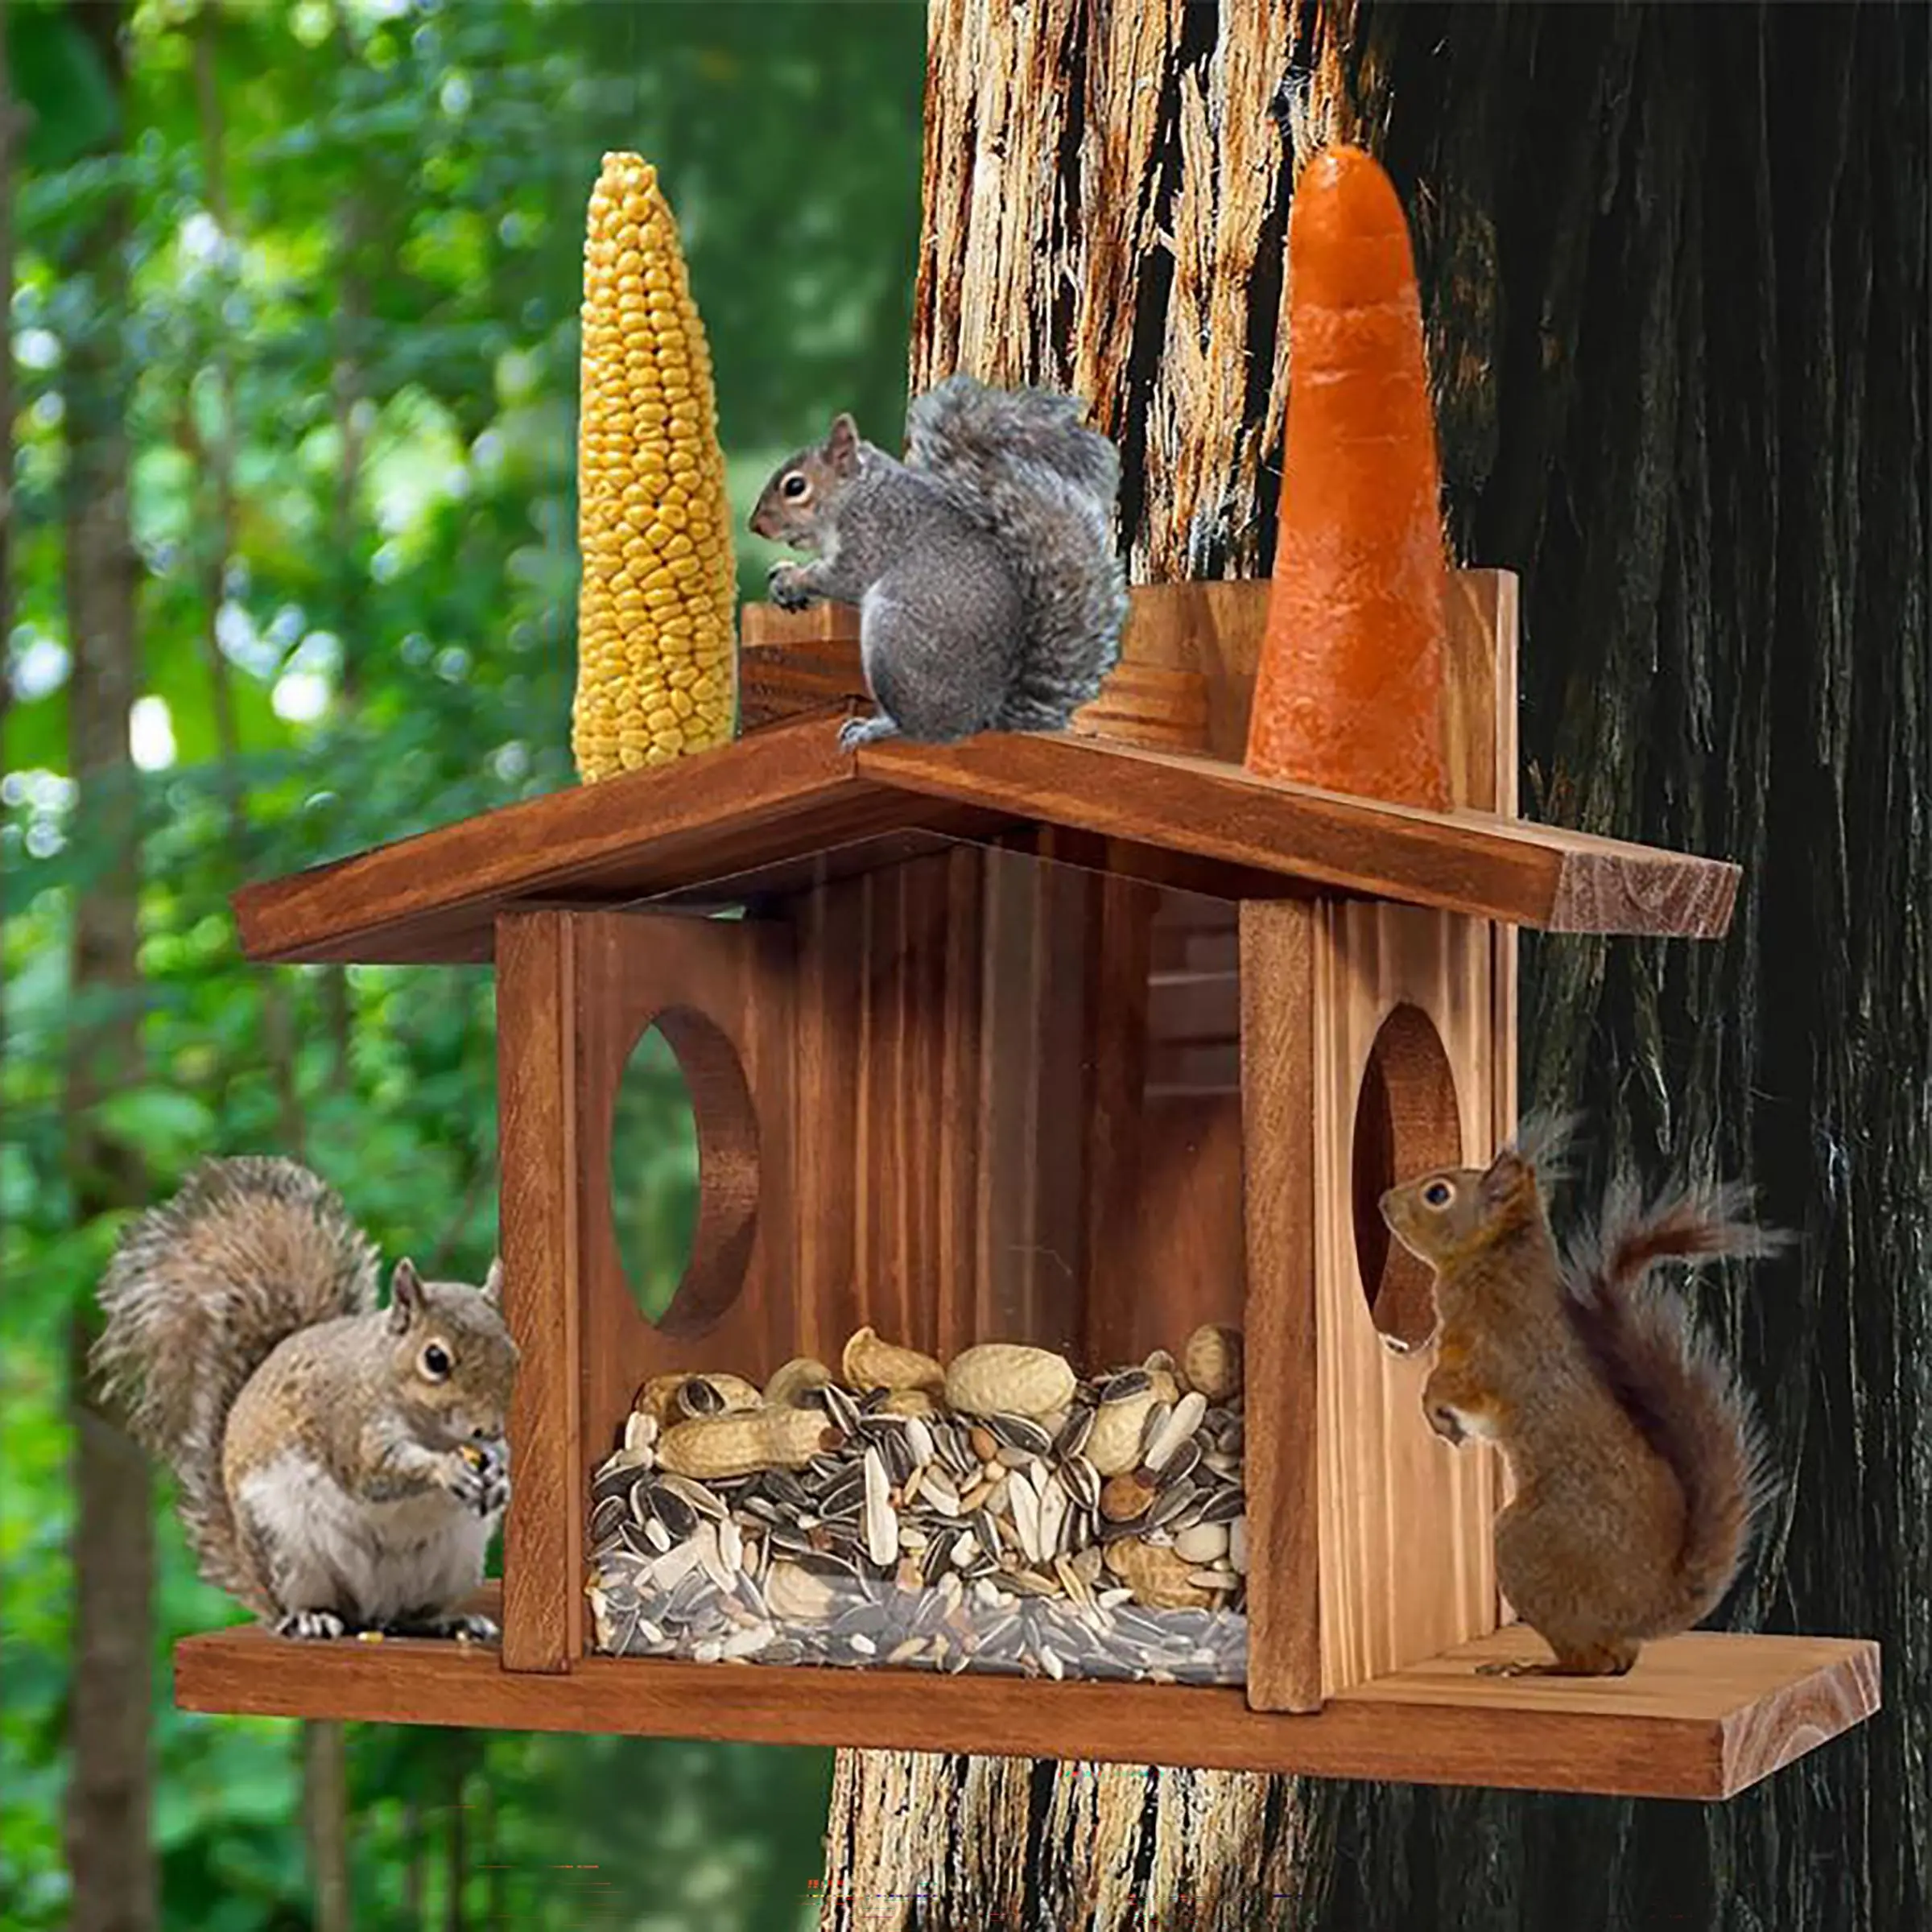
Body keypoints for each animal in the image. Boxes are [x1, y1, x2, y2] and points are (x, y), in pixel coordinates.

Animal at [93, 1156, 520, 1643]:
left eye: (514, 1354)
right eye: (435, 1359)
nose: (489, 1428)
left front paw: (501, 1476)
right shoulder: (350, 1424)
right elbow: (378, 1471)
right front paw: (446, 1470)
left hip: (453, 1561)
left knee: (406, 1617)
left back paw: (450, 1622)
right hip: (285, 1549)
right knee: (314, 1606)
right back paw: (311, 1617)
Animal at [748, 373, 1128, 750]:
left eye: (795, 487)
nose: (755, 526)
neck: (856, 492)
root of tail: (982, 716)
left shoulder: (873, 532)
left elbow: (845, 578)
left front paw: (794, 580)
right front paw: (784, 575)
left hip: (894, 639)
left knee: (923, 729)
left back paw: (876, 727)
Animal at [1378, 1123, 1780, 1677]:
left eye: (1438, 1193)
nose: (1381, 1201)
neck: (1495, 1261)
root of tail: (1648, 1605)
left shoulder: (1493, 1354)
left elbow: (1456, 1386)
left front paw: (1433, 1408)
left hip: (1529, 1549)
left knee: (1594, 1661)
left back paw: (1536, 1668)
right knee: (1618, 1660)